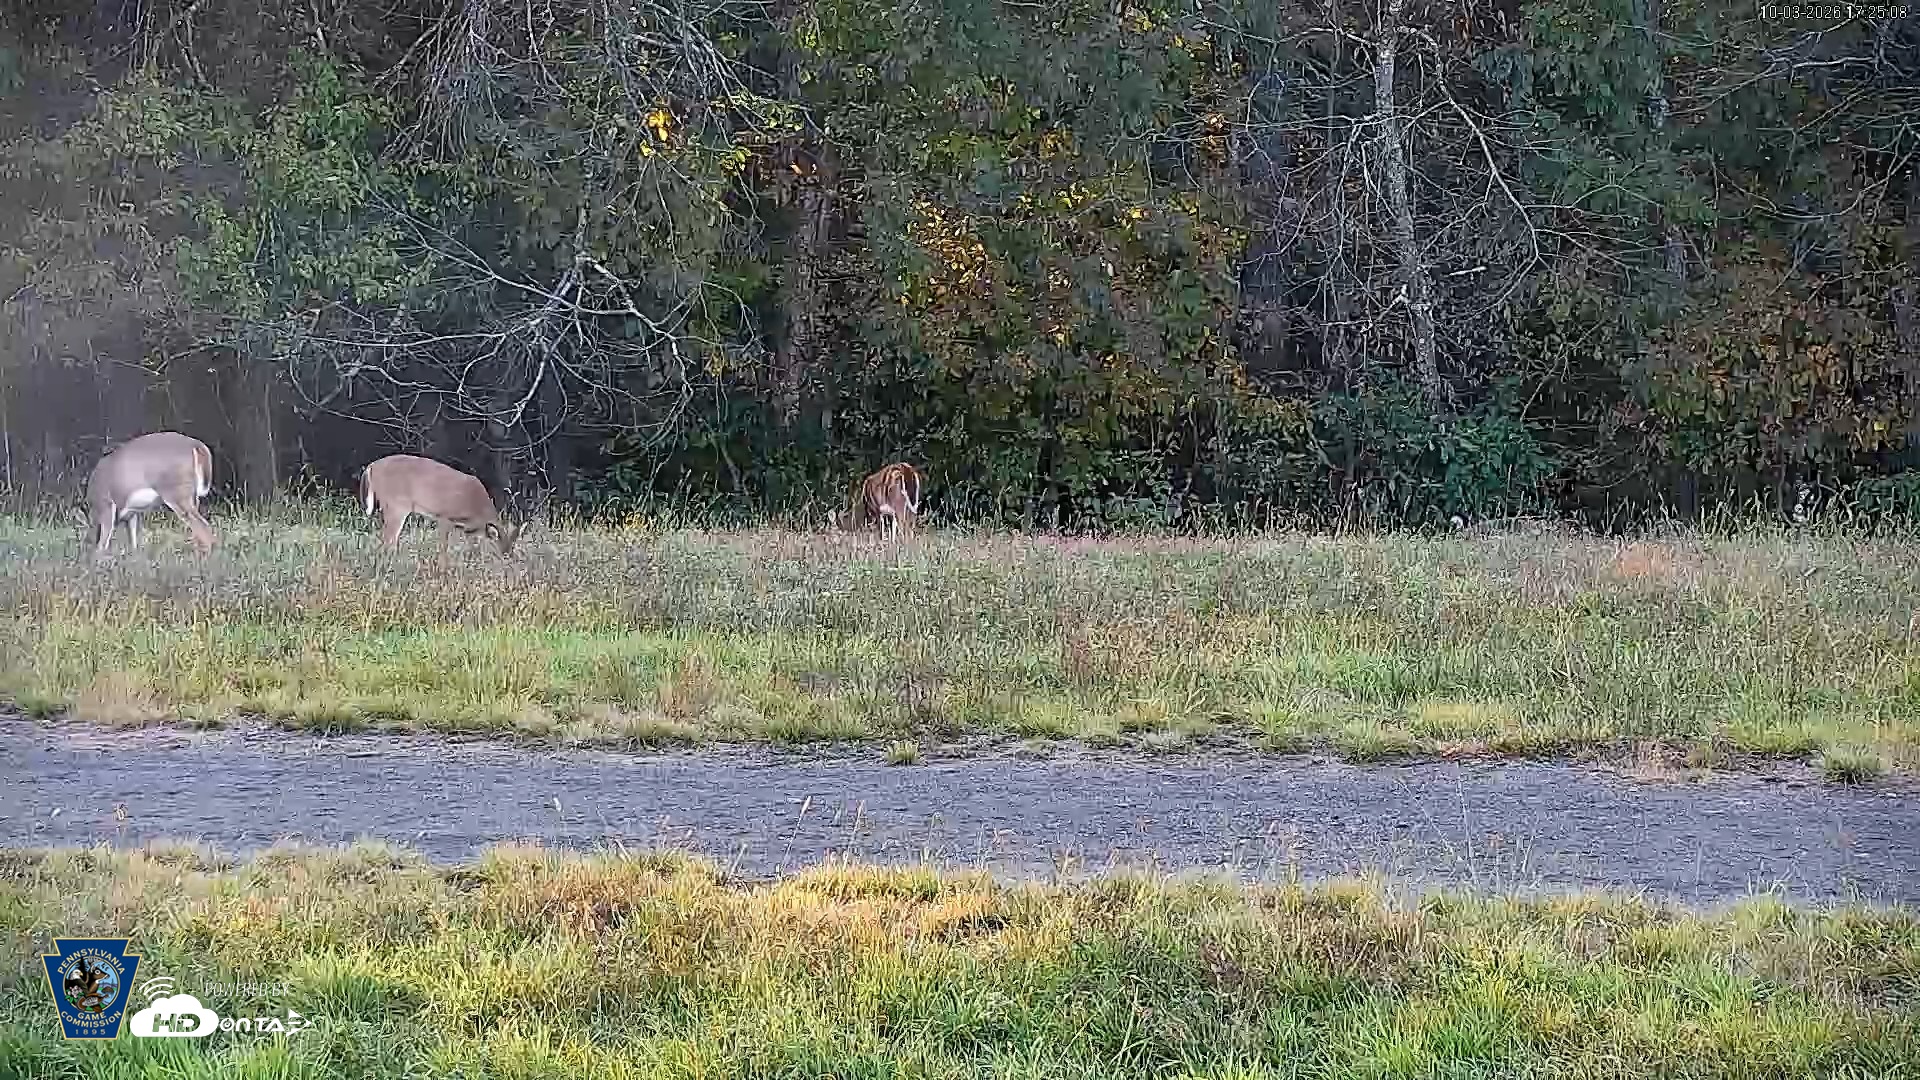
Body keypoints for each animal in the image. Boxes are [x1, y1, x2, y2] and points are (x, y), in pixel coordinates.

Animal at [84, 431, 218, 558]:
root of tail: (195, 444)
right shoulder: (132, 512)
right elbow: (133, 541)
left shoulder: (106, 504)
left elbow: (102, 543)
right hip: (192, 495)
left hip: (176, 492)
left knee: (204, 529)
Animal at [360, 454, 523, 558]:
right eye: (500, 552)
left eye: (510, 550)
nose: (508, 559)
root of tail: (370, 467)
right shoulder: (445, 515)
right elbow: (444, 546)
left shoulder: (467, 529)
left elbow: (471, 546)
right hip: (396, 505)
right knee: (388, 538)